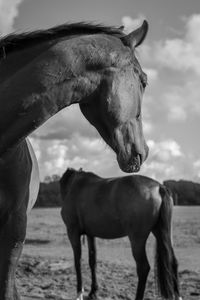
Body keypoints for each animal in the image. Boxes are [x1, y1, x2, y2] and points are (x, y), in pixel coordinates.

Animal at [59, 169, 181, 300]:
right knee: (173, 262)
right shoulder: (90, 234)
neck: (75, 186)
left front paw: (79, 293)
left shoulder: (73, 232)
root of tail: (159, 187)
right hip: (161, 232)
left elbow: (77, 261)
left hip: (137, 240)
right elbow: (92, 261)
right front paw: (93, 292)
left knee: (143, 268)